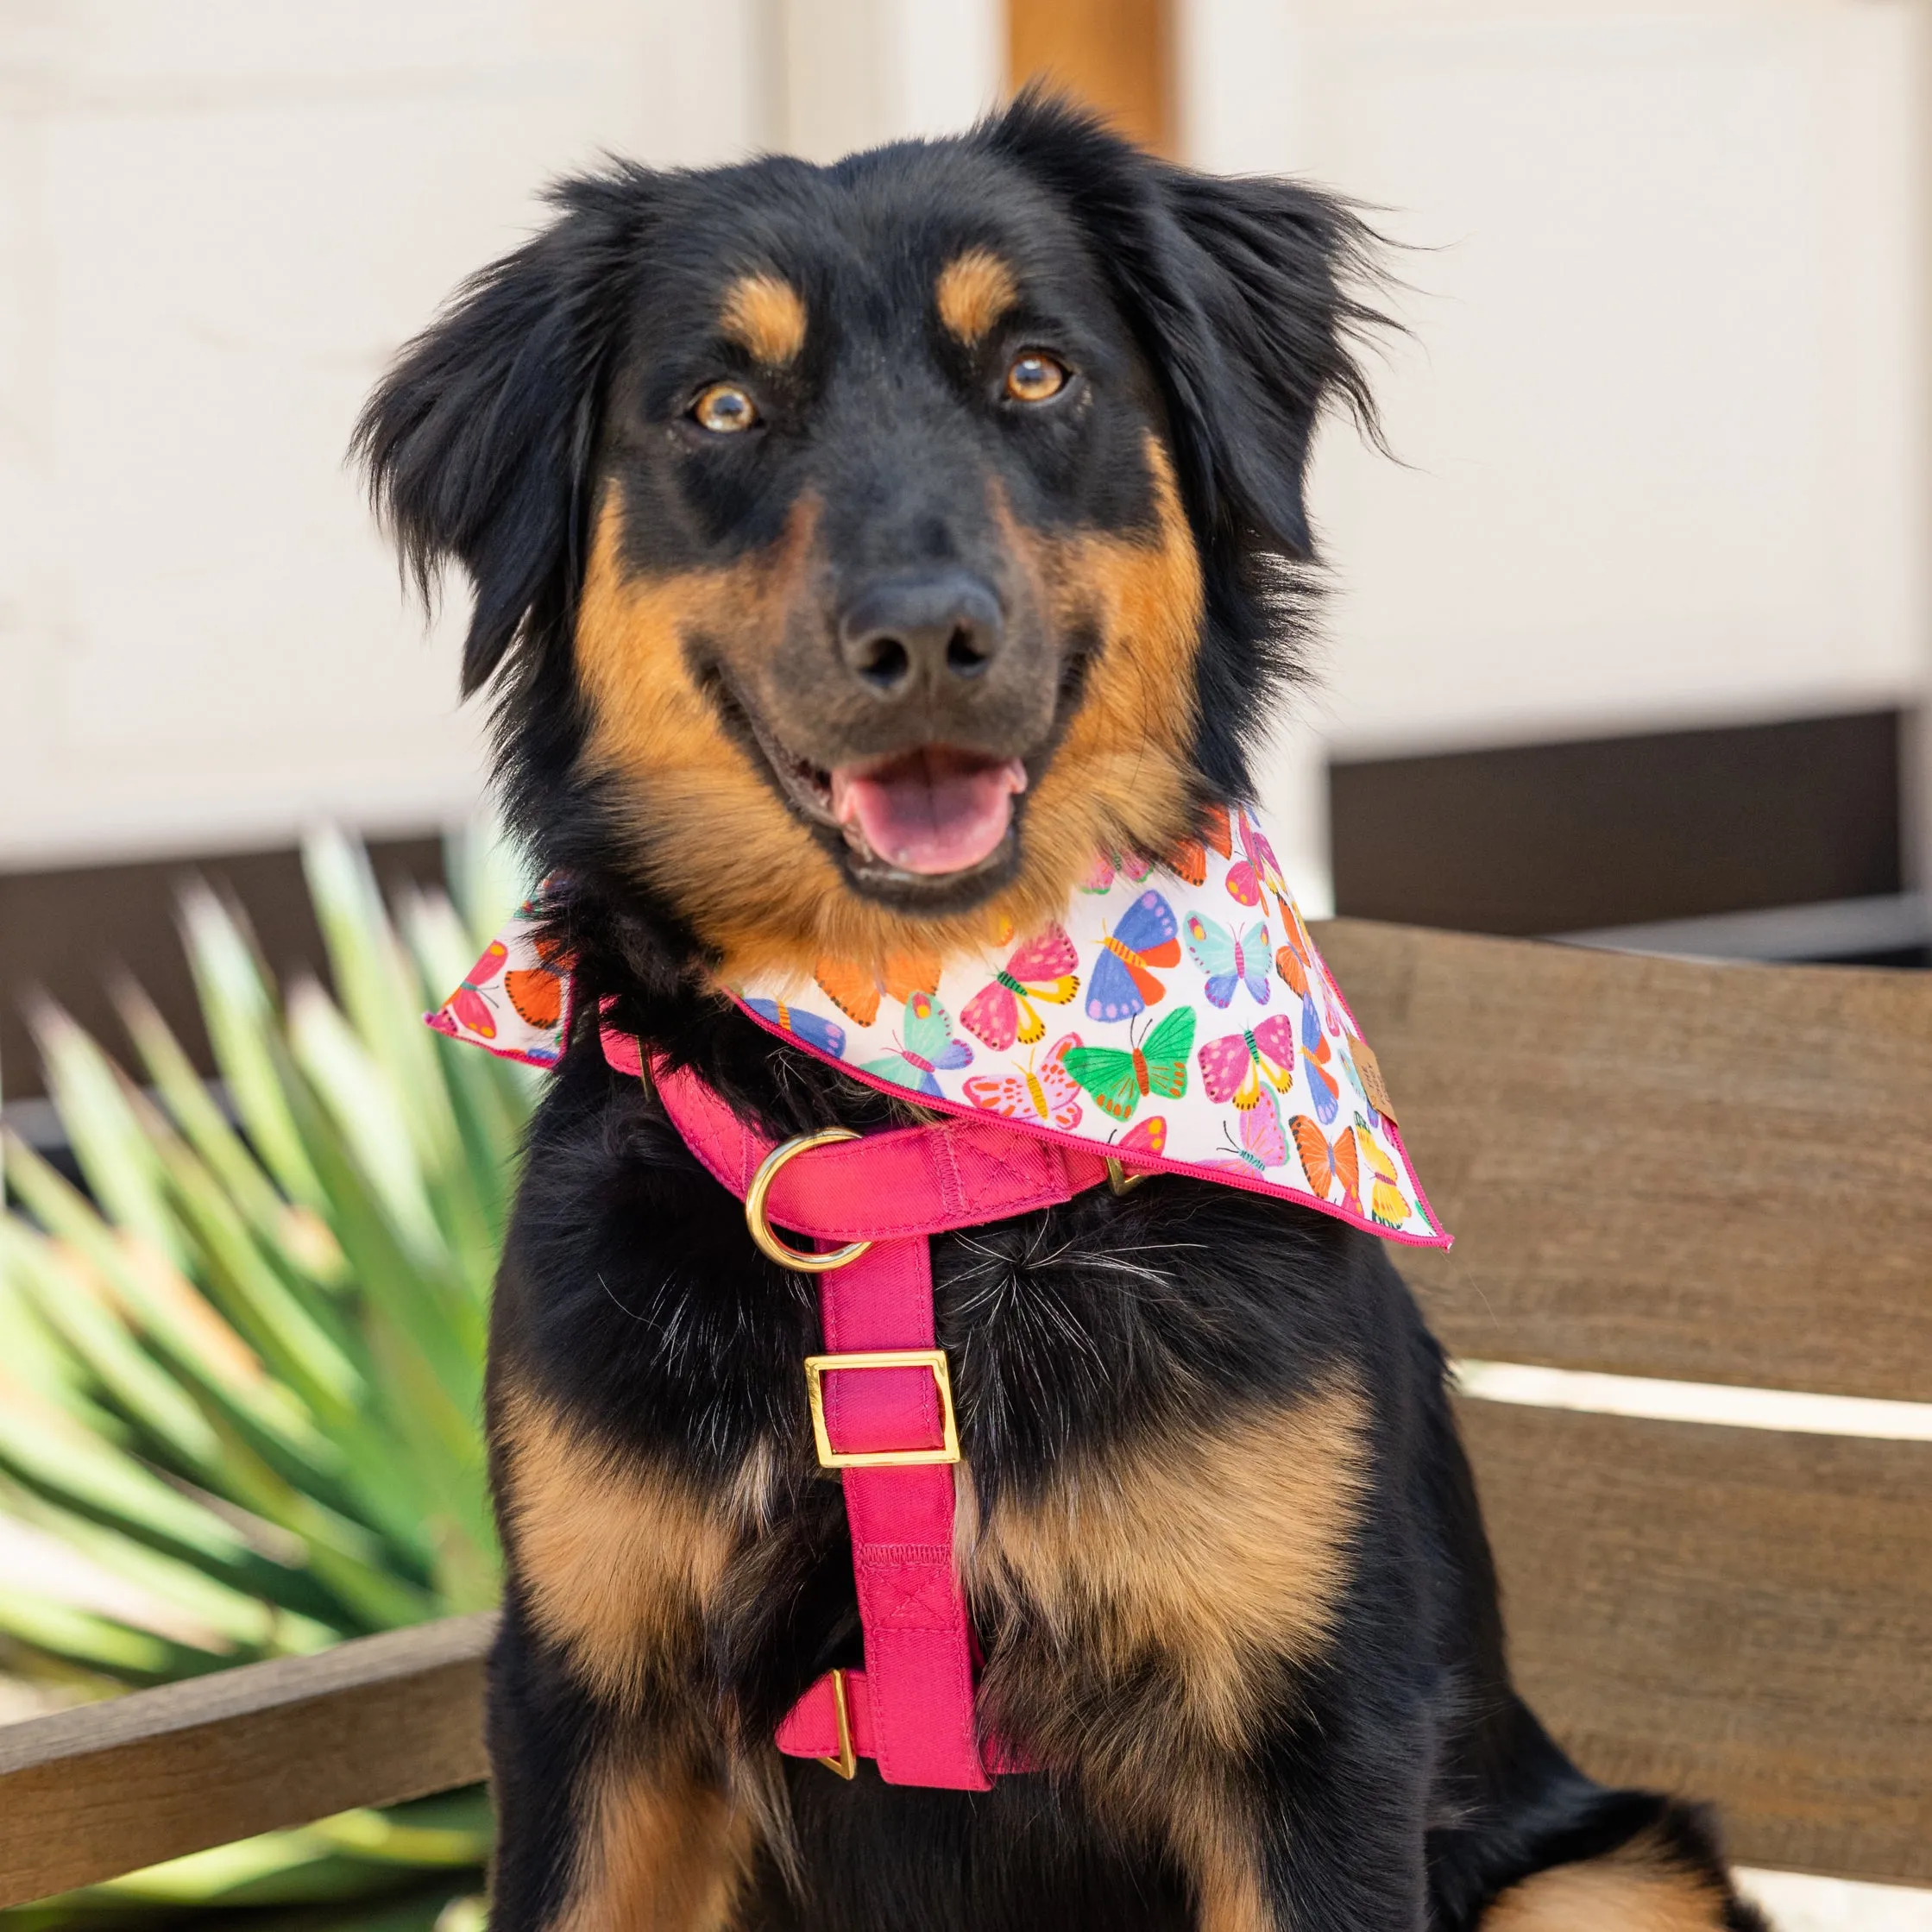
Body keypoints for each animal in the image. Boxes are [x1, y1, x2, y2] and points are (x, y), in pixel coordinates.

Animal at [355, 94, 1769, 1932]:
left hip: (1606, 1866)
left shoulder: (1310, 1735)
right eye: (721, 405)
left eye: (1035, 373)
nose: (923, 635)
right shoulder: (592, 1708)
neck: (910, 1122)